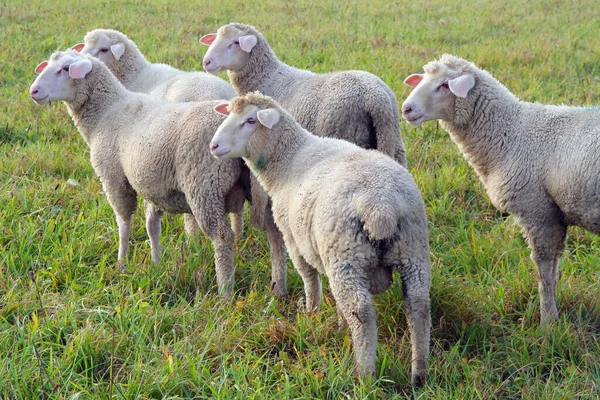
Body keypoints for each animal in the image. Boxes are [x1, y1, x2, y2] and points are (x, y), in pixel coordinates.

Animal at [202, 23, 408, 167]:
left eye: (235, 42)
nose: (206, 62)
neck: (267, 77)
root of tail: (375, 98)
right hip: (392, 138)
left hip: (349, 132)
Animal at [210, 91, 432, 388]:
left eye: (249, 121)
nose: (214, 145)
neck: (288, 159)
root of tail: (381, 206)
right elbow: (335, 298)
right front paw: (339, 324)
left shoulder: (294, 239)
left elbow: (309, 277)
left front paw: (311, 312)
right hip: (411, 248)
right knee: (418, 305)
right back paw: (419, 373)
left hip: (347, 254)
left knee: (361, 311)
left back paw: (364, 374)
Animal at [400, 53, 600, 324]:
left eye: (444, 85)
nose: (406, 109)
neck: (511, 133)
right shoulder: (553, 216)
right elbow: (554, 268)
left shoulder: (539, 212)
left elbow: (545, 271)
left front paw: (548, 321)